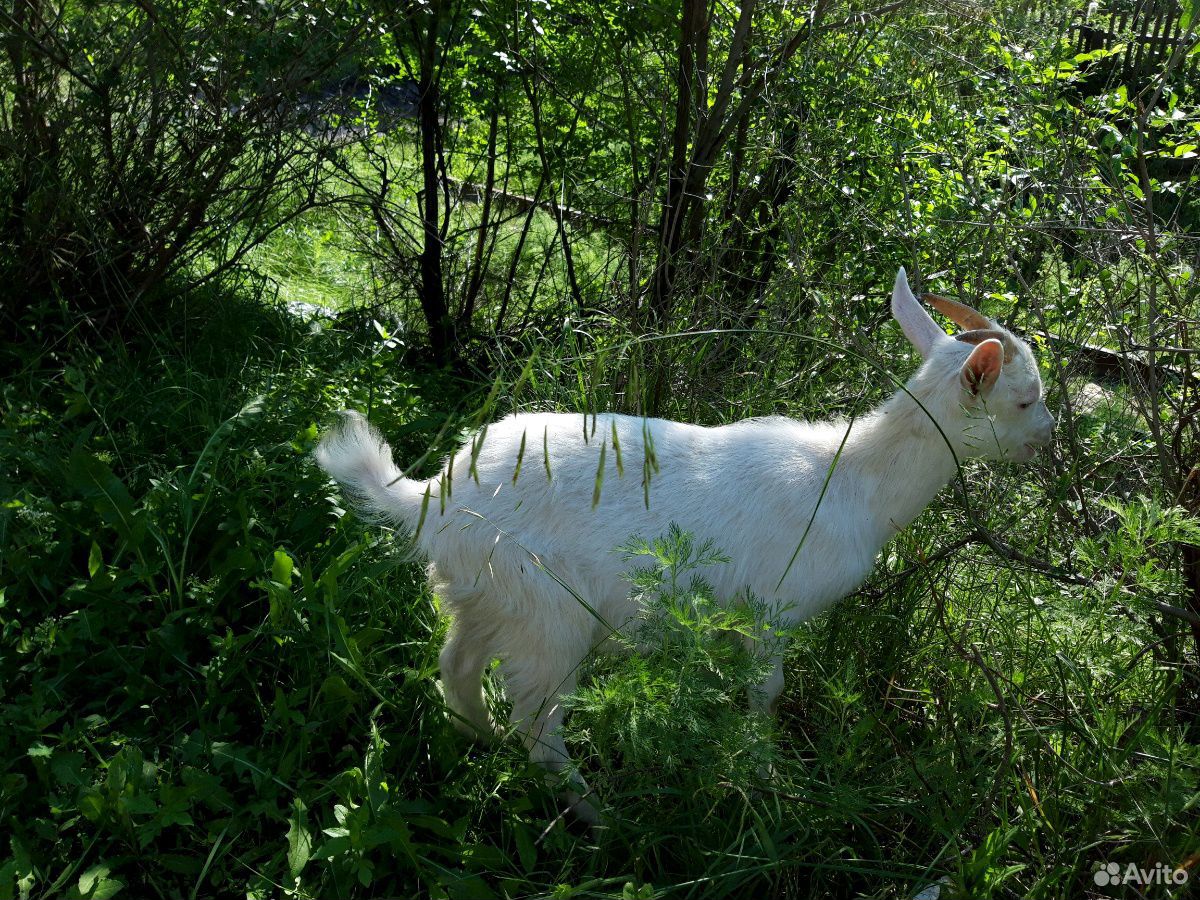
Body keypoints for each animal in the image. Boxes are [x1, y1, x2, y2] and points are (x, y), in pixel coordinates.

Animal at [316, 270, 1051, 825]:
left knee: (457, 668)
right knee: (538, 724)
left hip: (484, 593)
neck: (851, 479)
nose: (1048, 437)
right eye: (1023, 400)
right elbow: (767, 692)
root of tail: (434, 495)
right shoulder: (774, 609)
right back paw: (599, 815)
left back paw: (480, 742)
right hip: (551, 614)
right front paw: (763, 781)